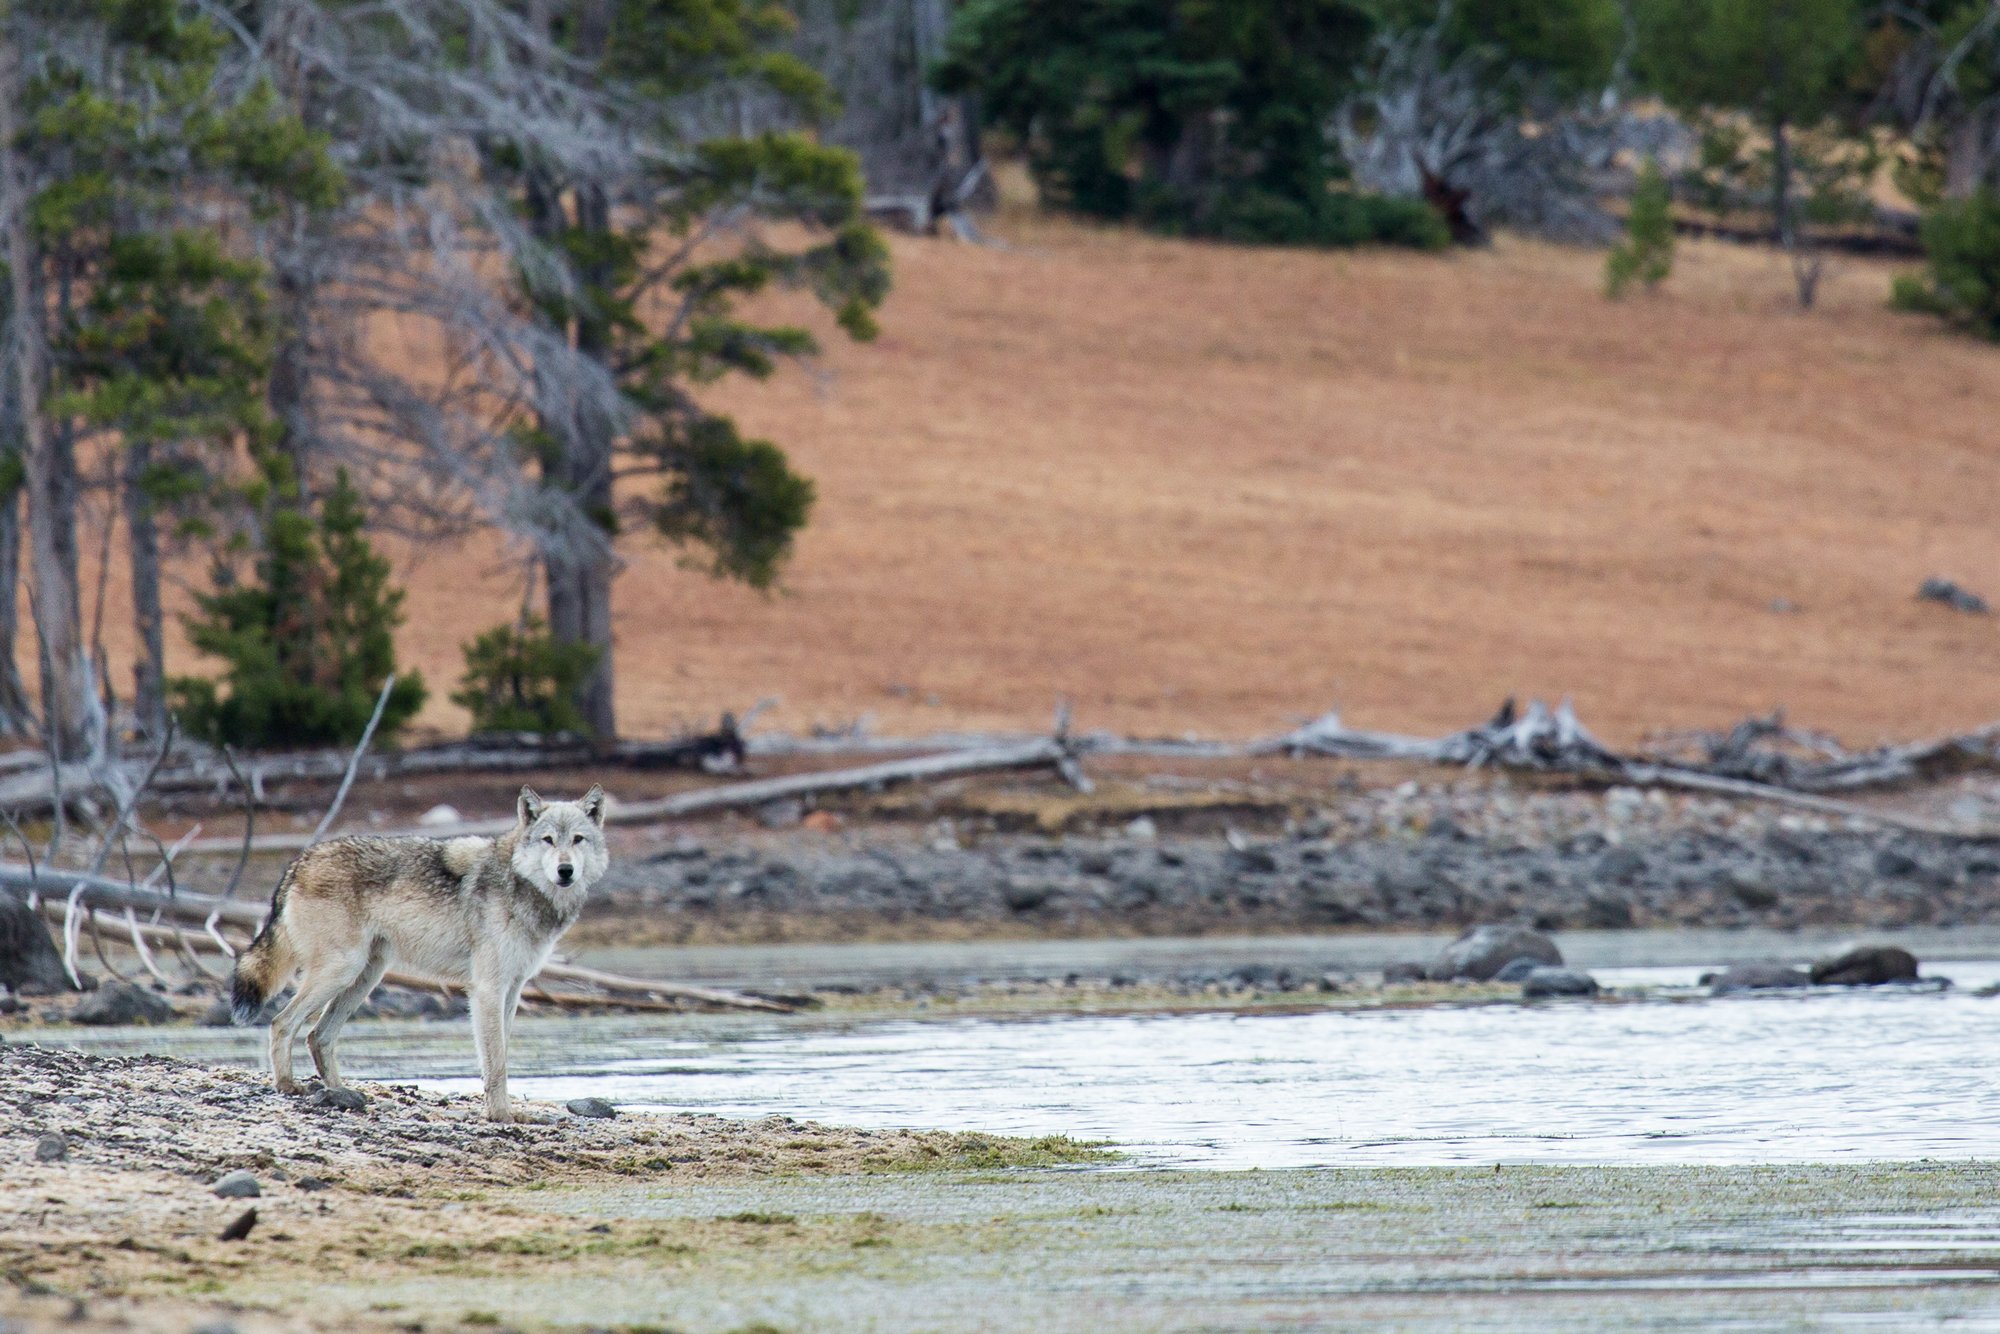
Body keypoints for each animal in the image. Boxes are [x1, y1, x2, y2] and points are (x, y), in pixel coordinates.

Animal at [230, 788, 604, 1120]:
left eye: (578, 839)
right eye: (548, 840)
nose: (566, 871)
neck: (520, 884)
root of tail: (299, 861)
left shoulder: (512, 990)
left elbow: (501, 1057)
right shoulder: (487, 990)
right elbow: (495, 1063)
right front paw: (502, 1115)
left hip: (364, 977)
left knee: (317, 1036)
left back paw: (342, 1093)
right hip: (341, 971)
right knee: (282, 1023)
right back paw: (288, 1085)